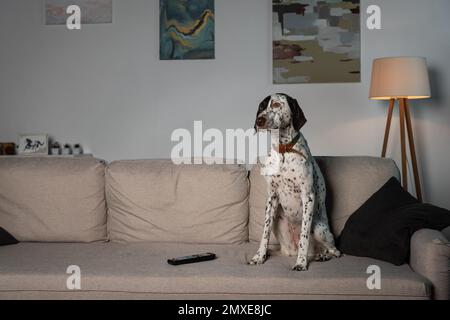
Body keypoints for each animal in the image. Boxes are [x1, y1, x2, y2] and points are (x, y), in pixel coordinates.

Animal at [248, 94, 340, 272]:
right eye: (261, 106)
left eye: (276, 104)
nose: (259, 120)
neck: (284, 149)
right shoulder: (271, 197)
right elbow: (264, 233)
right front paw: (259, 257)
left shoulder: (308, 196)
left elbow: (304, 235)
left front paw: (301, 263)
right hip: (278, 223)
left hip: (319, 228)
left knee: (335, 251)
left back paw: (322, 255)